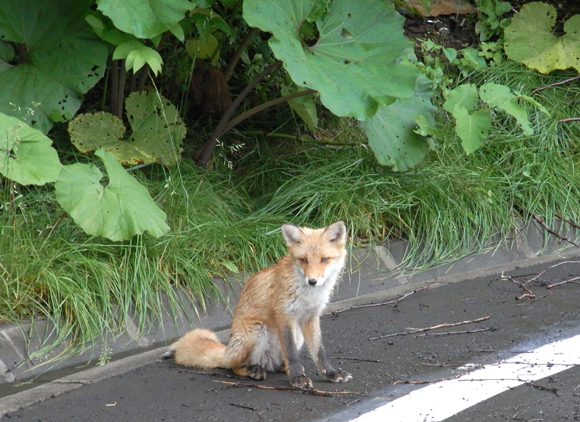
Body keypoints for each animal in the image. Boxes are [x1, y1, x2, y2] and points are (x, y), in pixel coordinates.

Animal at [165, 221, 352, 390]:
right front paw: (297, 378)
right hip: (256, 330)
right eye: (303, 260)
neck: (309, 295)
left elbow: (319, 351)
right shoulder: (284, 314)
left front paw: (331, 373)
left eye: (324, 259)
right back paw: (253, 370)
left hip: (297, 334)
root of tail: (226, 351)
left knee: (276, 363)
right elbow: (291, 353)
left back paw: (280, 368)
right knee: (232, 366)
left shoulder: (311, 316)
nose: (312, 281)